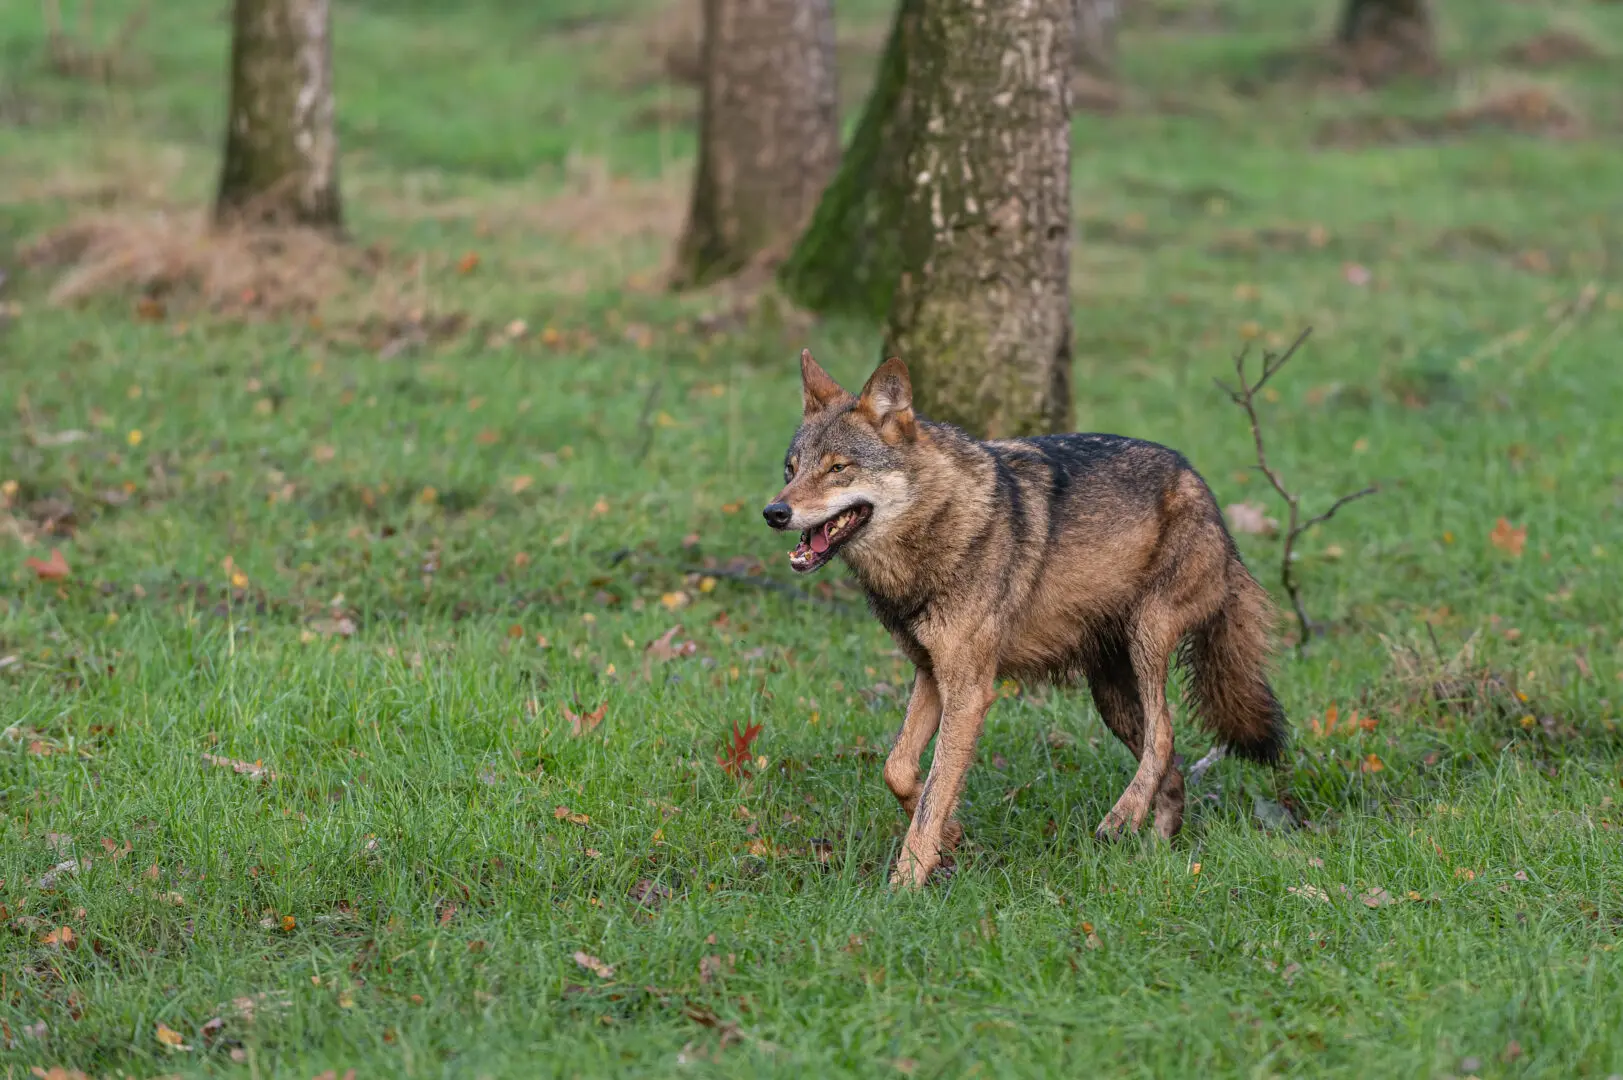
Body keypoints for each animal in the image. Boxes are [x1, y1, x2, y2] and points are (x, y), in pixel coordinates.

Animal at [763, 350, 1287, 888]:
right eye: (791, 468)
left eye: (838, 468)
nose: (774, 512)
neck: (939, 524)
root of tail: (1204, 491)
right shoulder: (931, 673)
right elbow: (900, 770)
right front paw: (950, 835)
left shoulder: (971, 690)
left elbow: (933, 792)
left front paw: (905, 884)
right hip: (1111, 697)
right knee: (1169, 756)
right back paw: (1155, 847)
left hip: (1148, 637)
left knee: (1163, 738)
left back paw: (1120, 819)